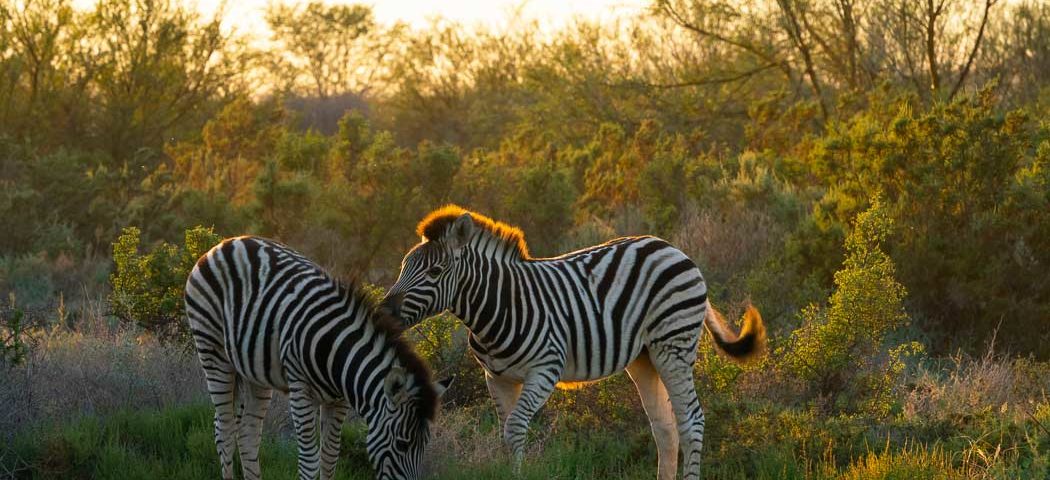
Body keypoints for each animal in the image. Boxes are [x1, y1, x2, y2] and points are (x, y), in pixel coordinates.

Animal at [185, 236, 453, 480]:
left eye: (424, 445)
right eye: (402, 444)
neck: (338, 353)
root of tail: (226, 244)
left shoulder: (339, 400)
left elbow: (330, 457)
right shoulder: (301, 390)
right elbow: (310, 462)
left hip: (254, 372)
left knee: (247, 434)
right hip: (212, 351)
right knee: (224, 431)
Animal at [380, 206, 765, 480]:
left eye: (434, 273)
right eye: (402, 266)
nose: (384, 312)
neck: (500, 305)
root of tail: (673, 249)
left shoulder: (545, 369)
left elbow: (515, 430)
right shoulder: (497, 378)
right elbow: (505, 434)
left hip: (673, 346)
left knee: (691, 421)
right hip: (645, 357)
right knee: (665, 428)